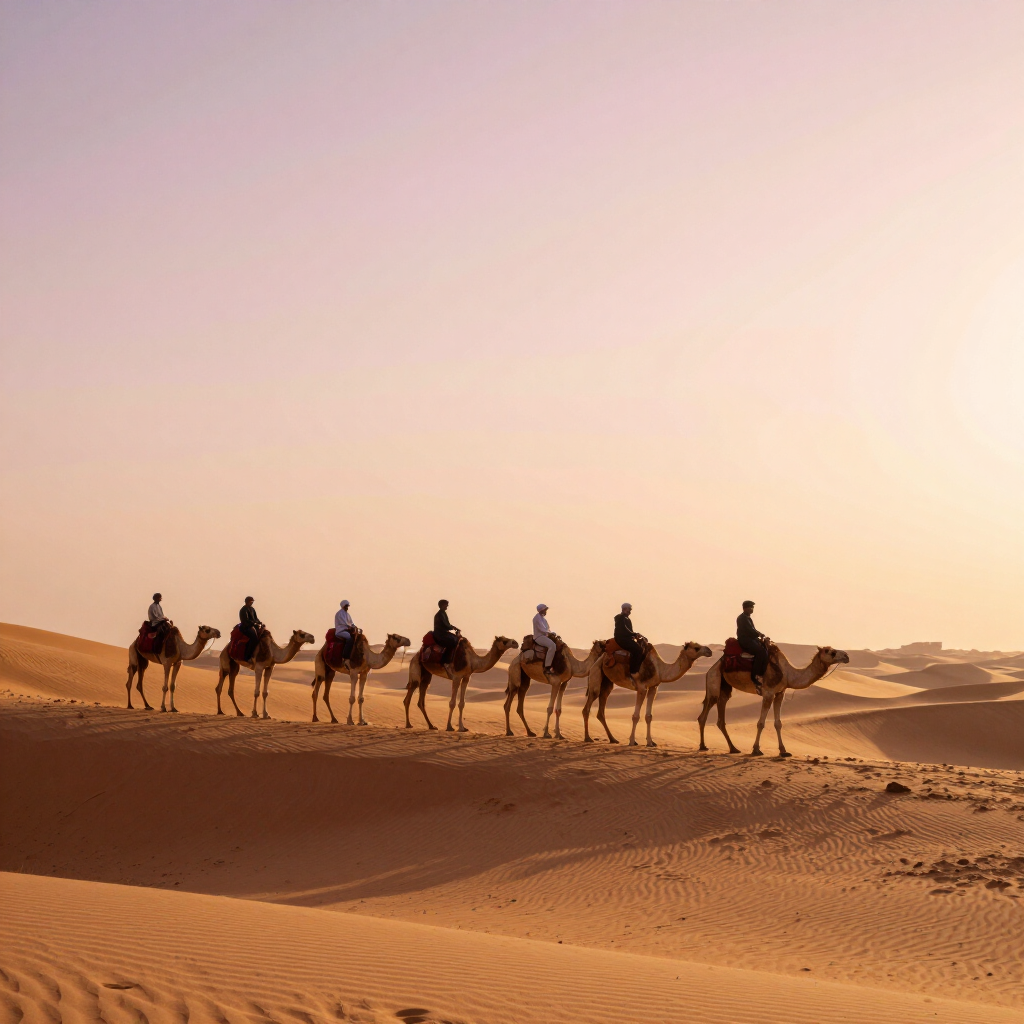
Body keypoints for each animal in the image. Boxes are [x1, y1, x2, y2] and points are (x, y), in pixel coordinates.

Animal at [582, 641, 712, 747]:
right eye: (696, 648)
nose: (709, 651)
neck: (660, 669)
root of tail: (598, 660)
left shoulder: (653, 687)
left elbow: (649, 716)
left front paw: (650, 742)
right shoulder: (641, 688)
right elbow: (635, 716)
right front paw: (632, 741)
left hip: (606, 683)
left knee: (601, 709)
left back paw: (613, 739)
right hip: (595, 675)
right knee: (588, 705)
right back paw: (588, 738)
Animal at [698, 643, 850, 757]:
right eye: (830, 651)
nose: (846, 656)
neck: (788, 674)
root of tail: (711, 668)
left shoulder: (779, 693)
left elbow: (778, 723)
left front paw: (783, 751)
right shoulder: (768, 693)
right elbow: (761, 723)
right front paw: (756, 749)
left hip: (724, 687)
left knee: (719, 717)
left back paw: (733, 748)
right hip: (714, 681)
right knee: (705, 714)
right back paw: (703, 746)